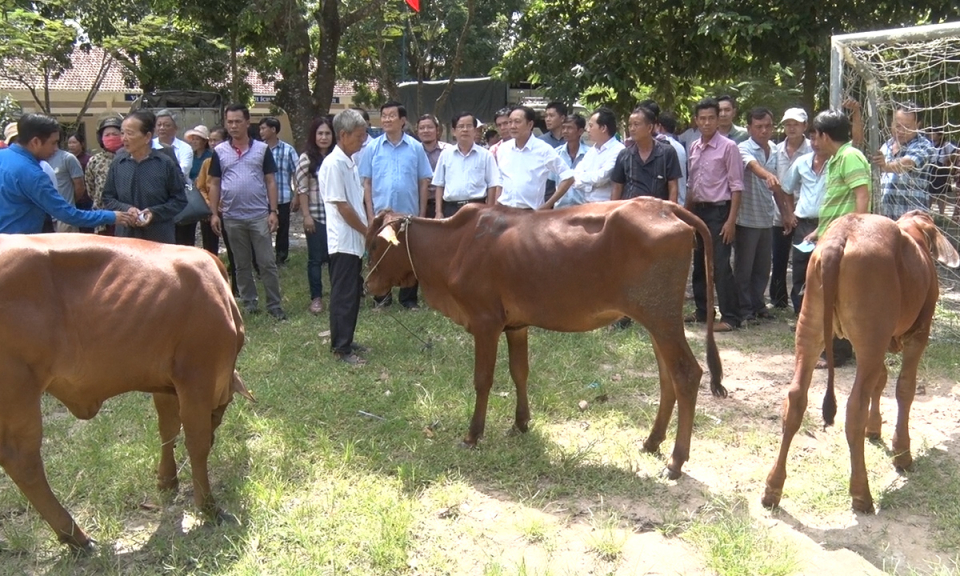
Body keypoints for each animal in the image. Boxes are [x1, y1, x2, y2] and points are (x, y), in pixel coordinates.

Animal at [0, 233, 251, 548]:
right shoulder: (197, 376)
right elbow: (196, 442)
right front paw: (207, 506)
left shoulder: (167, 381)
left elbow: (168, 428)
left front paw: (166, 481)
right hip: (18, 391)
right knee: (24, 462)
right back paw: (75, 536)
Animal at [364, 200, 724, 480]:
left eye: (374, 245)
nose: (368, 285)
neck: (455, 247)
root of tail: (665, 206)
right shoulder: (515, 325)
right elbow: (519, 372)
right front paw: (521, 423)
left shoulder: (485, 322)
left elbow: (483, 380)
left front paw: (472, 435)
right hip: (655, 321)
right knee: (667, 379)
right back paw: (651, 442)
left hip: (661, 317)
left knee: (686, 374)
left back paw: (676, 461)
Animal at [760, 212, 956, 512]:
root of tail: (842, 234)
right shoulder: (917, 334)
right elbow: (904, 388)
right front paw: (902, 452)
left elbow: (881, 380)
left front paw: (874, 430)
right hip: (870, 338)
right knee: (854, 408)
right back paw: (861, 493)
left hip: (812, 327)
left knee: (795, 399)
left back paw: (772, 488)